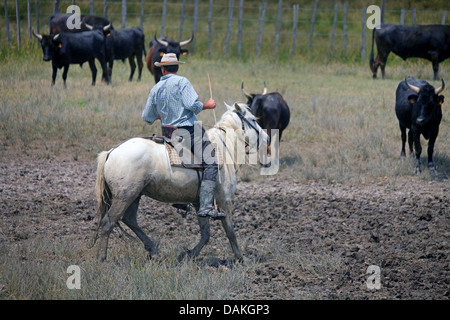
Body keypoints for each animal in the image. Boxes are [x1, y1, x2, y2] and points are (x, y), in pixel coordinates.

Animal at [93, 102, 268, 262]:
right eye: (253, 119)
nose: (267, 138)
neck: (224, 149)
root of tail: (111, 152)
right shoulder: (224, 200)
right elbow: (230, 232)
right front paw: (241, 259)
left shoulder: (200, 203)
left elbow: (206, 234)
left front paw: (188, 254)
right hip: (124, 196)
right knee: (109, 223)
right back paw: (102, 259)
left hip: (135, 195)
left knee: (129, 219)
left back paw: (153, 250)